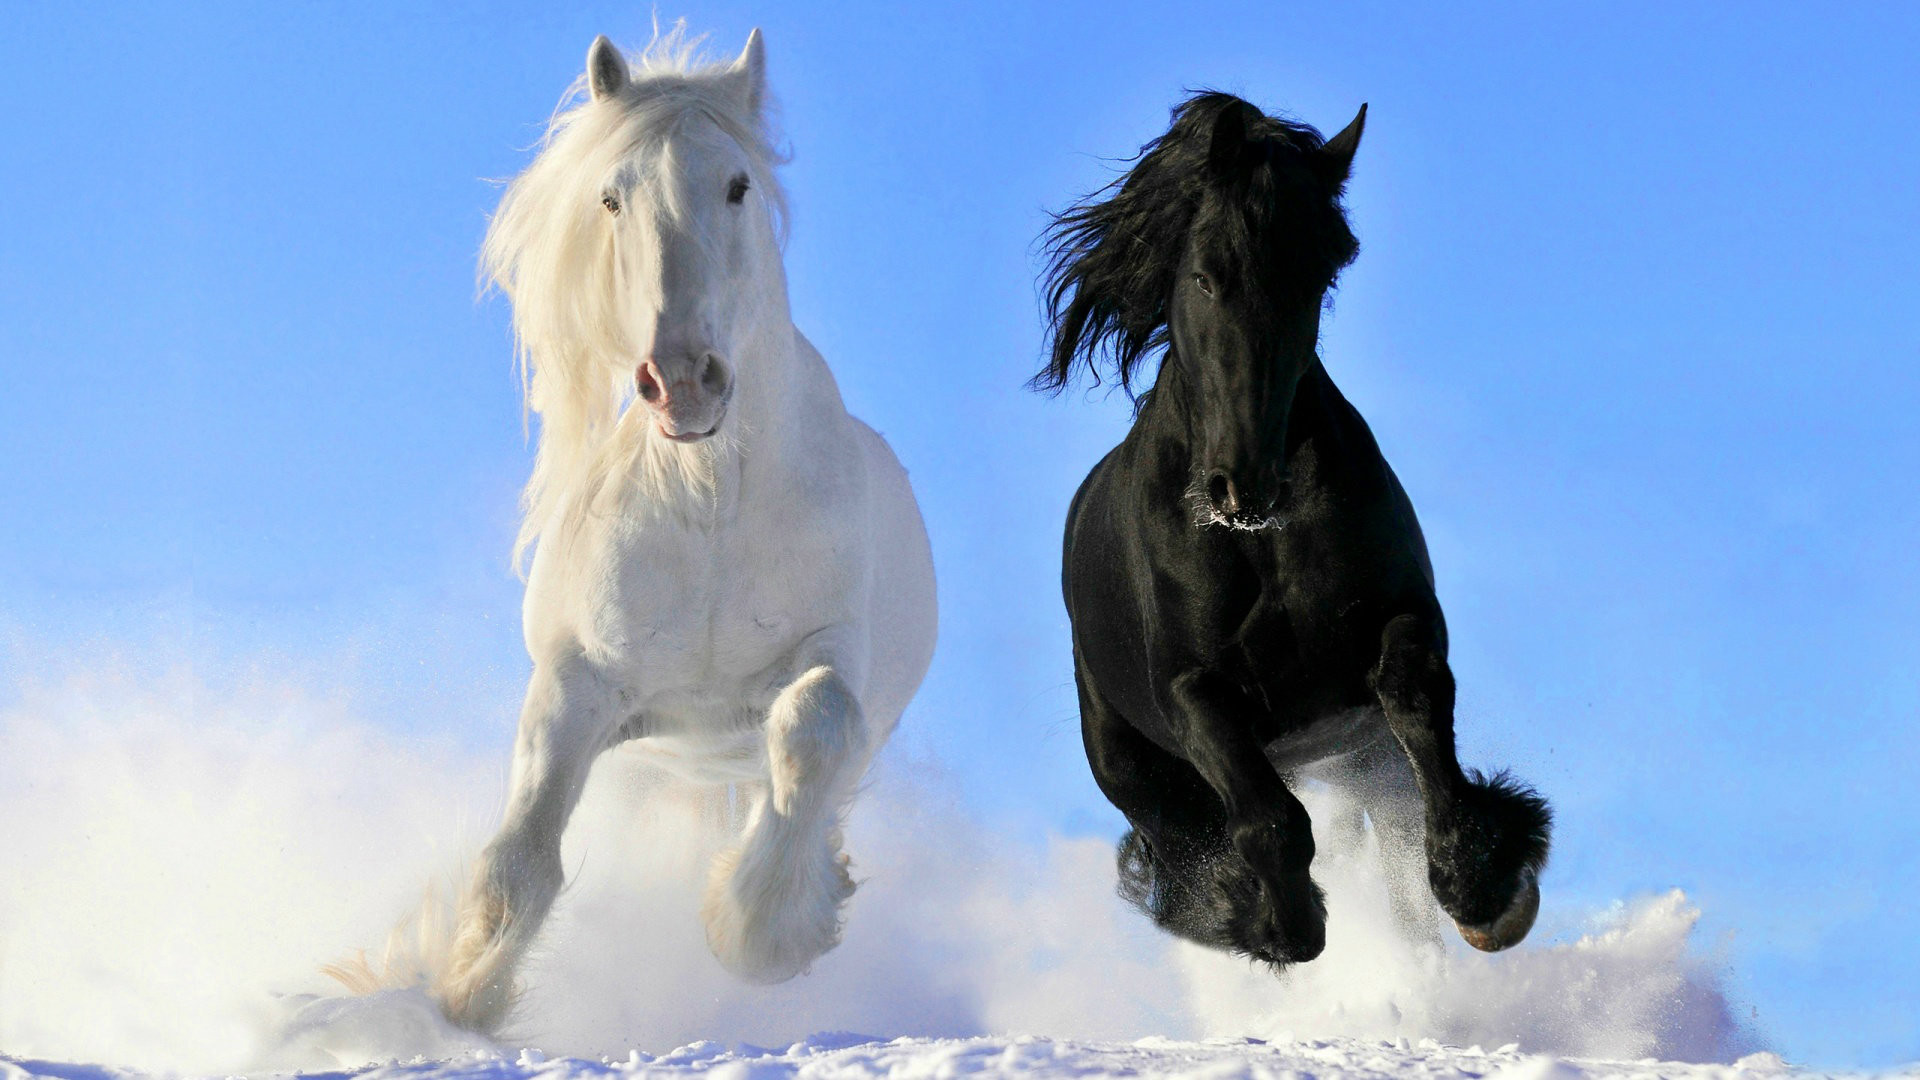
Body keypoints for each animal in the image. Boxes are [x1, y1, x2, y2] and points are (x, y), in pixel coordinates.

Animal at [412, 28, 937, 1032]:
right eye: (611, 196)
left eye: (736, 184)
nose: (683, 379)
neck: (710, 507)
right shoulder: (577, 684)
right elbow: (519, 859)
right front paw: (459, 1003)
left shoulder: (831, 654)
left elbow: (814, 726)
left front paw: (761, 932)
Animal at [1034, 92, 1551, 967]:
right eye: (1206, 275)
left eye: (1315, 277)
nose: (1242, 484)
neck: (1259, 542)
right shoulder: (1193, 691)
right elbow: (1268, 821)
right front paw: (1274, 919)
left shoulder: (1400, 621)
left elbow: (1416, 702)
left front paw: (1484, 885)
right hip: (1133, 765)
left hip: (1362, 760)